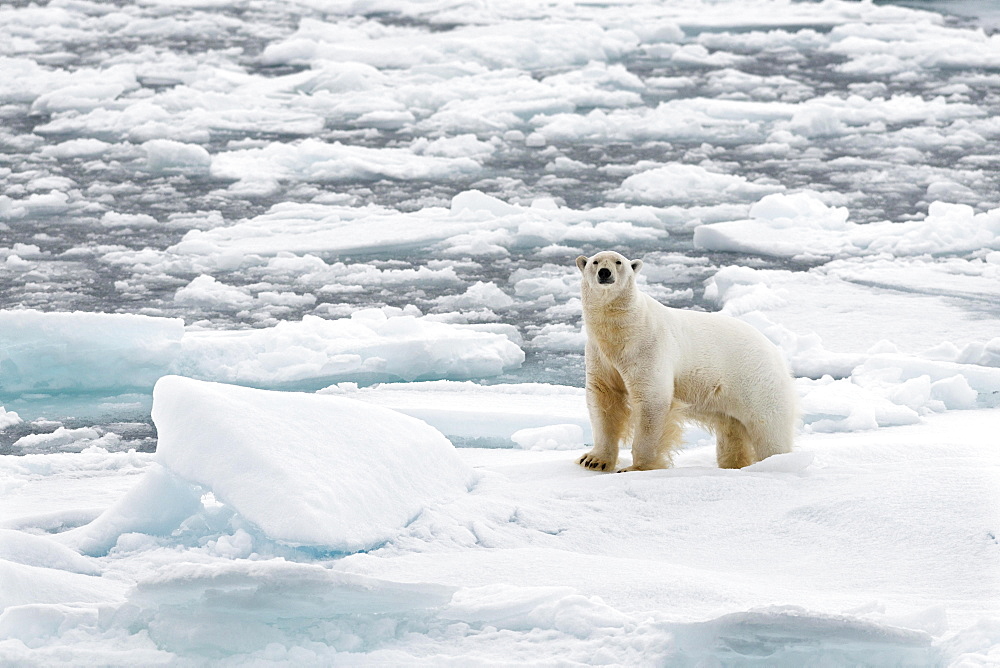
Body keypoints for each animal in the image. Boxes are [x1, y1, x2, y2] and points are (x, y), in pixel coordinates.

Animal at [576, 248, 792, 472]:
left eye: (618, 262)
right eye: (595, 262)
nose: (604, 273)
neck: (624, 333)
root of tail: (776, 352)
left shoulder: (648, 348)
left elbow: (651, 401)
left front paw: (637, 468)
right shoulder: (600, 356)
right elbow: (603, 400)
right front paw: (593, 460)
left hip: (756, 382)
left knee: (769, 430)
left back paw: (776, 462)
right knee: (732, 431)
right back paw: (734, 464)